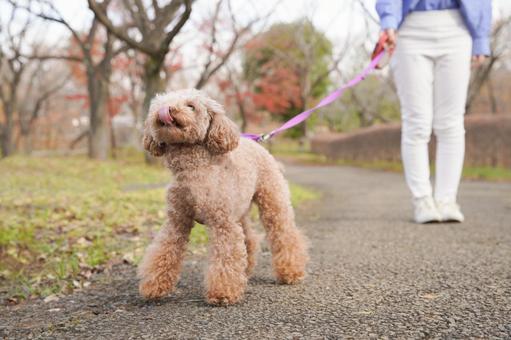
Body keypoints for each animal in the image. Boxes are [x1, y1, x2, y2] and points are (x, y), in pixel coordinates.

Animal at [138, 88, 310, 306]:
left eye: (191, 106)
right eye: (161, 104)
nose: (166, 111)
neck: (194, 170)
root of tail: (257, 143)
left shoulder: (222, 222)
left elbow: (225, 256)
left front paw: (222, 293)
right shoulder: (177, 221)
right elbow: (164, 250)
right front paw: (154, 287)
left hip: (271, 199)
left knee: (284, 233)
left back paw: (291, 272)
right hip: (240, 208)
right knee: (249, 239)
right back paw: (246, 270)